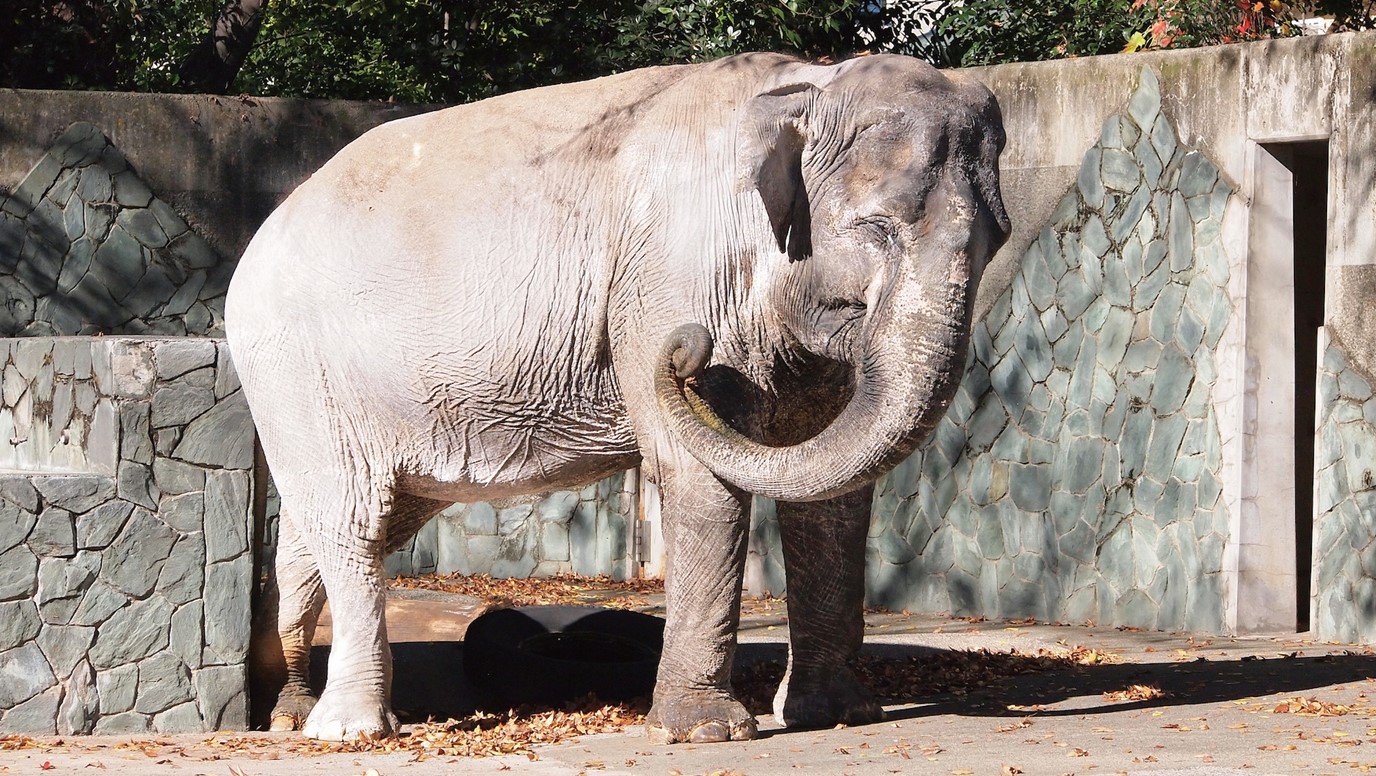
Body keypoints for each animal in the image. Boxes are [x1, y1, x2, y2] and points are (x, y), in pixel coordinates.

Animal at [228, 51, 1012, 742]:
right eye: (877, 230)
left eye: (997, 240)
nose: (687, 349)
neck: (808, 86)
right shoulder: (671, 277)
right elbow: (700, 478)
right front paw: (703, 733)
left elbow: (832, 499)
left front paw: (838, 717)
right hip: (295, 372)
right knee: (351, 519)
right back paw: (350, 731)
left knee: (341, 526)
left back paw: (289, 711)